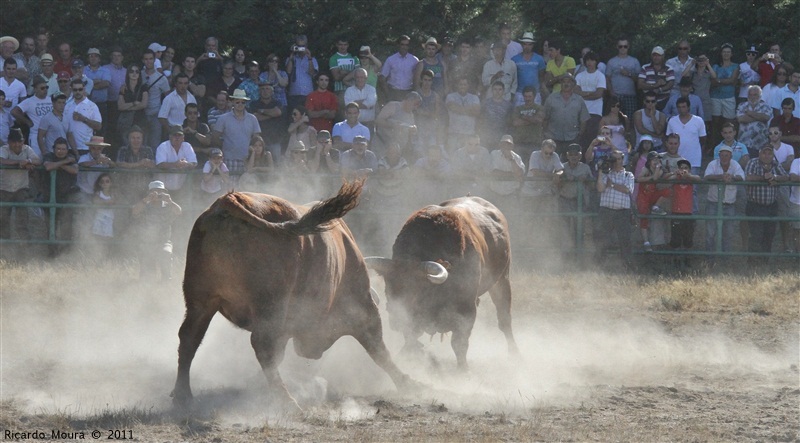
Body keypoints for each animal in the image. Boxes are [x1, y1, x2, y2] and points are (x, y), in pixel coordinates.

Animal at [173, 180, 416, 410]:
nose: (312, 353)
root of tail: (229, 200)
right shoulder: (362, 304)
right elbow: (378, 349)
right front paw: (409, 383)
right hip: (270, 304)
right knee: (263, 345)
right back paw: (286, 400)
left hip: (201, 302)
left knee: (189, 338)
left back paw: (182, 396)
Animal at [364, 198, 516, 372]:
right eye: (387, 285)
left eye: (417, 289)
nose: (396, 320)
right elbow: (411, 339)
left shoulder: (467, 310)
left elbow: (459, 343)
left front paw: (464, 371)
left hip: (502, 280)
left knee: (504, 320)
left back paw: (515, 354)